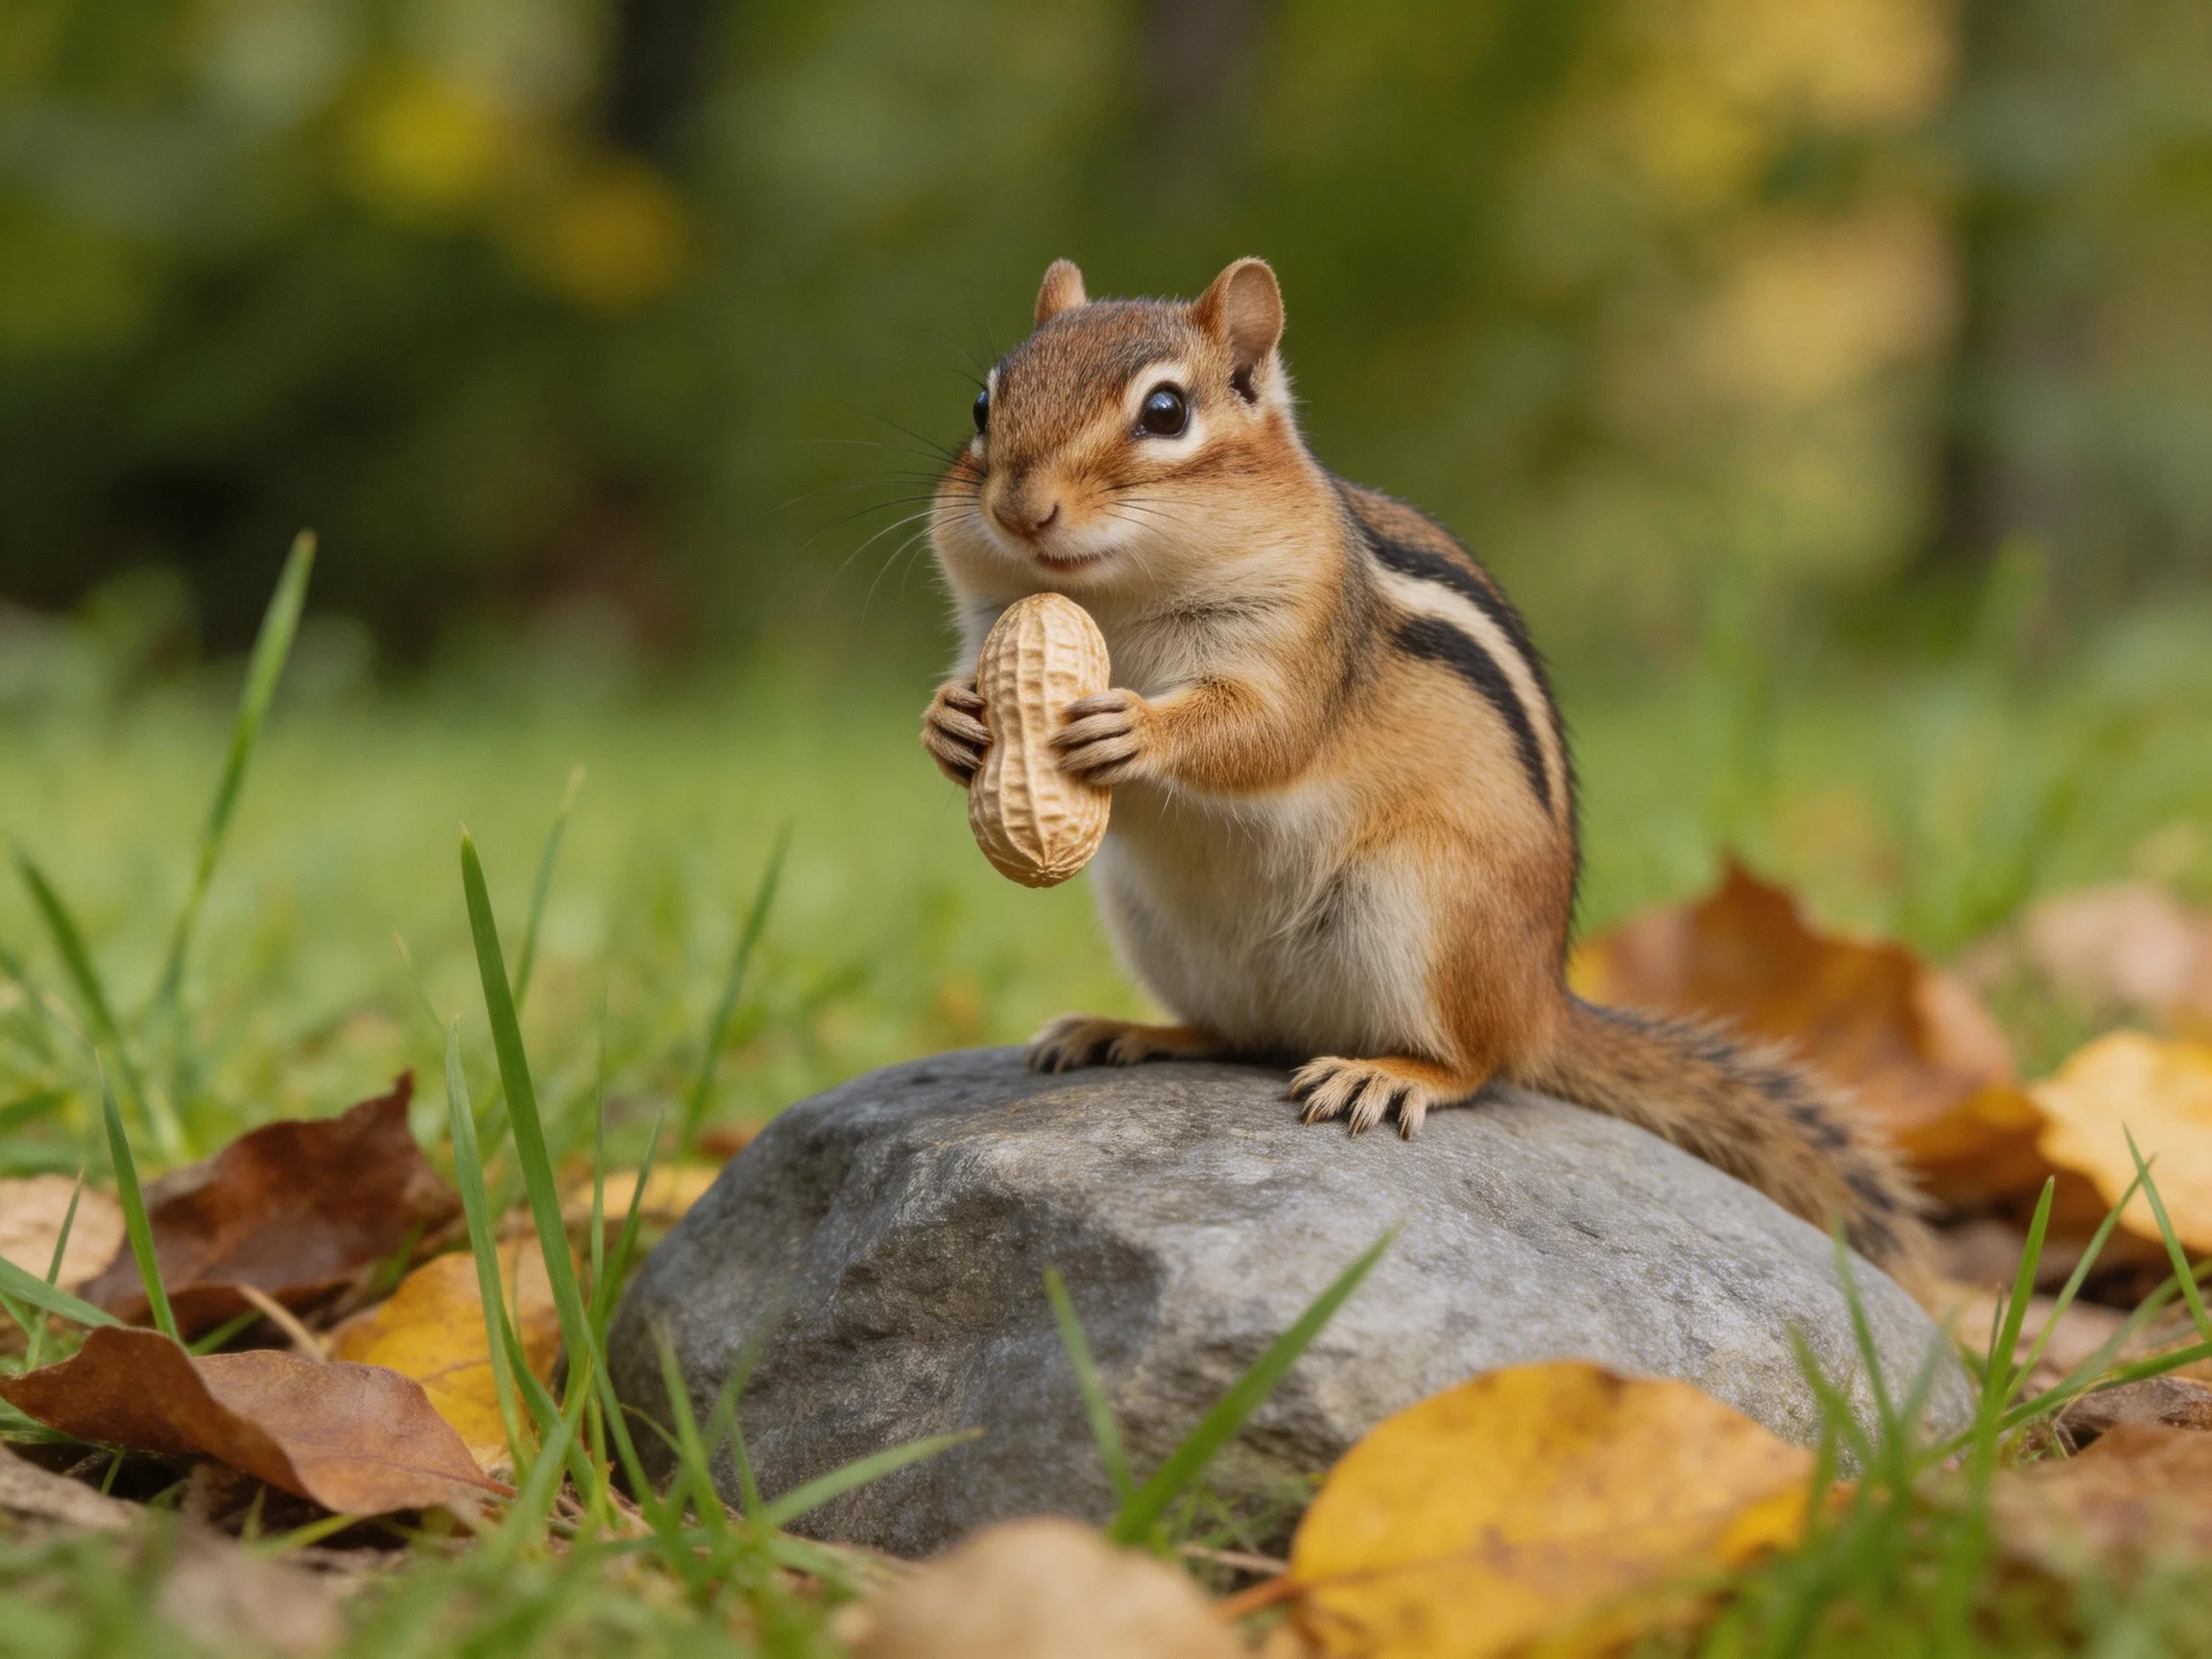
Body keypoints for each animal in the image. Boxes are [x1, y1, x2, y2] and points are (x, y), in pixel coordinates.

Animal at [920, 256, 1927, 1277]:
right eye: (981, 404)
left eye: (1165, 412)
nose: (1019, 509)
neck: (1113, 603)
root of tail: (1544, 1000)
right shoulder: (990, 622)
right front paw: (953, 723)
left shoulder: (1306, 637)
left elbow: (1264, 735)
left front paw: (1136, 729)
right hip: (1163, 931)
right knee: (1235, 1033)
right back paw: (1126, 1029)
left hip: (1427, 908)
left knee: (1476, 1064)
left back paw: (1390, 1074)